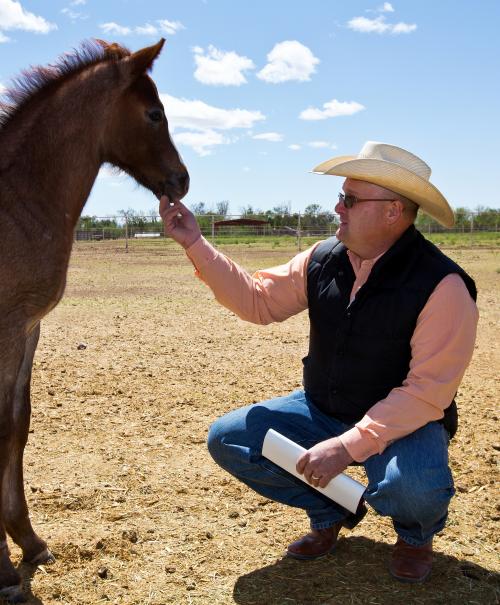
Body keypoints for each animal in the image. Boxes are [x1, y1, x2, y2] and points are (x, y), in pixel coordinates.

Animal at [0, 37, 189, 600]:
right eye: (154, 113)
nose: (181, 180)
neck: (19, 202)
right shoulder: (6, 325)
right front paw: (2, 572)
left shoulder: (29, 327)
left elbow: (17, 424)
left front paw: (30, 541)